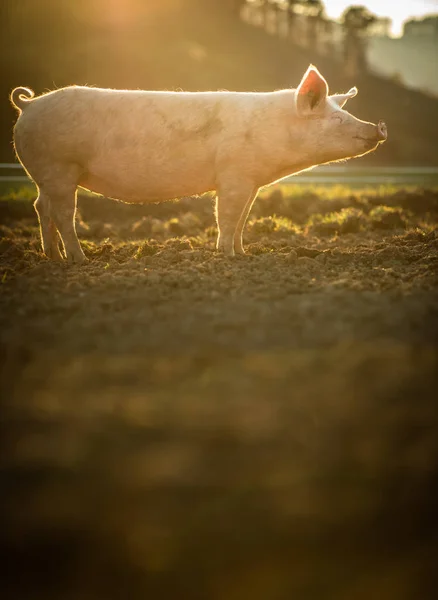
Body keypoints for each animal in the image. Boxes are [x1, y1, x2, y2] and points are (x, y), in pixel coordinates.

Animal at [10, 66, 386, 262]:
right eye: (337, 119)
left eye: (344, 113)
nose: (379, 127)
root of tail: (27, 106)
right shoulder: (234, 175)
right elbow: (227, 216)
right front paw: (227, 256)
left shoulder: (251, 181)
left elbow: (243, 218)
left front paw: (243, 253)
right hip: (60, 167)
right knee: (63, 213)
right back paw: (80, 259)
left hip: (45, 175)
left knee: (40, 206)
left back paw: (53, 258)